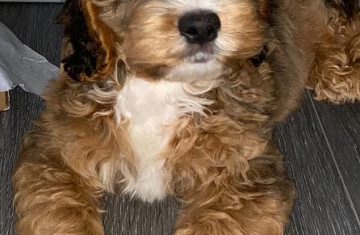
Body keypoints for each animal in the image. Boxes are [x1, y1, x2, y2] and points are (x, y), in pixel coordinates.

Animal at [11, 0, 360, 235]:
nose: (202, 25)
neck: (161, 84)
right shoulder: (55, 149)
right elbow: (60, 211)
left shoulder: (246, 171)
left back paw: (341, 74)